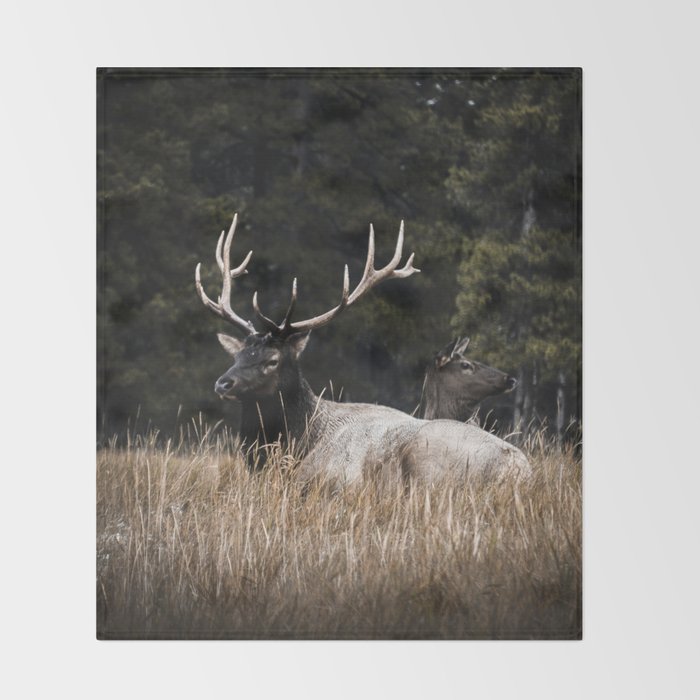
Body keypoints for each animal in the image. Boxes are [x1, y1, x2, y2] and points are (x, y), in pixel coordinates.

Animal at [195, 214, 531, 487]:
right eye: (237, 356)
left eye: (272, 360)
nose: (223, 383)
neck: (299, 442)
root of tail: (519, 469)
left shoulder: (339, 480)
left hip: (428, 462)